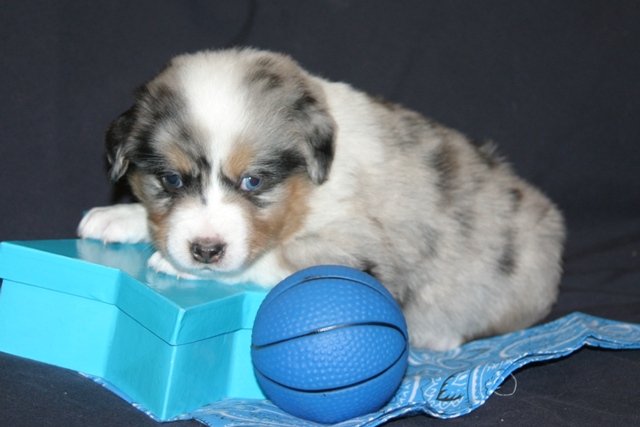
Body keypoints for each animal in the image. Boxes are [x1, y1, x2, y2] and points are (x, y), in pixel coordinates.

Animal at [78, 48, 565, 351]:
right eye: (172, 180)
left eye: (254, 181)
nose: (205, 250)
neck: (311, 189)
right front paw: (118, 217)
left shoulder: (359, 255)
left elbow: (278, 261)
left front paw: (178, 265)